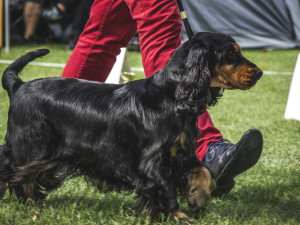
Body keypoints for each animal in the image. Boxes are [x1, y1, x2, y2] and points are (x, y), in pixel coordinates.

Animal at [0, 32, 262, 222]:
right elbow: (165, 188)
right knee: (13, 168)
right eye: (231, 53)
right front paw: (179, 215)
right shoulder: (151, 160)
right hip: (31, 146)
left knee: (26, 178)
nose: (259, 73)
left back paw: (35, 202)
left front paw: (198, 196)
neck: (170, 95)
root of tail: (18, 85)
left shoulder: (180, 152)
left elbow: (203, 171)